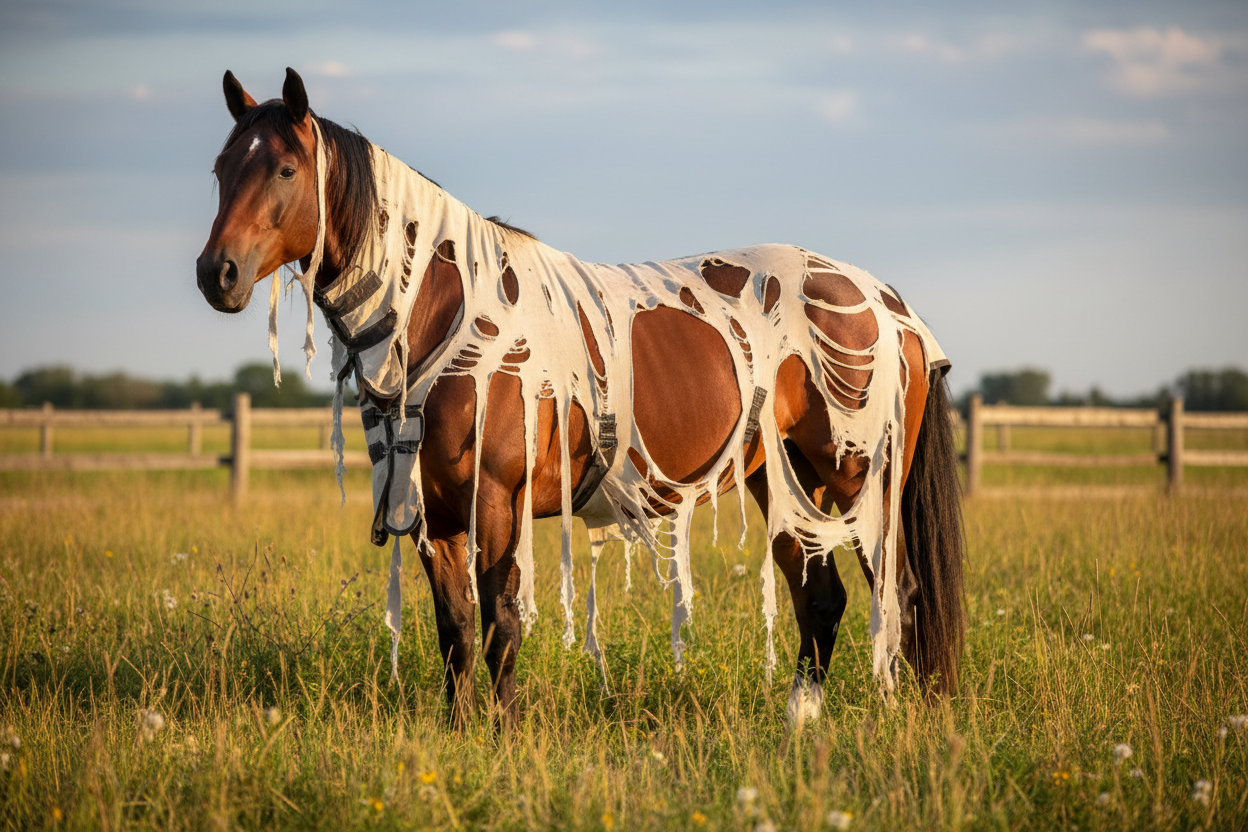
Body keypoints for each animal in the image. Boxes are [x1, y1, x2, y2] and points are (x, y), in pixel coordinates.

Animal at [196, 68, 965, 727]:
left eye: (286, 169)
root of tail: (890, 305)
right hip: (784, 483)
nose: (217, 274)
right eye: (220, 169)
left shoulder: (495, 504)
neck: (444, 314)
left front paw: (503, 734)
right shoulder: (432, 513)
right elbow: (455, 630)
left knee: (900, 594)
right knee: (822, 599)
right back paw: (801, 719)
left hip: (864, 483)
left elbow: (500, 623)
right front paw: (459, 731)